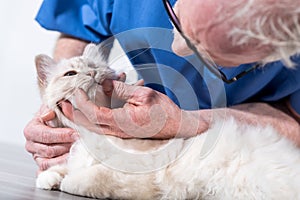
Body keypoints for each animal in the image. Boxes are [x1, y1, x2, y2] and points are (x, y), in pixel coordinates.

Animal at [35, 43, 300, 198]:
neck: (93, 134)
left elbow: (85, 178)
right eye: (71, 74)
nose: (91, 74)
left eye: (93, 67)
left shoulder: (134, 171)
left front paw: (65, 182)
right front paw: (48, 179)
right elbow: (63, 167)